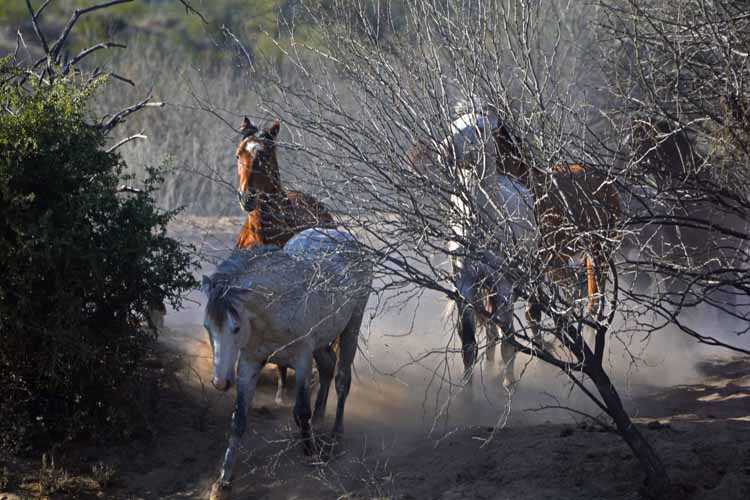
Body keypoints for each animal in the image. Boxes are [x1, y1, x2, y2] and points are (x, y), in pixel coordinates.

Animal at [203, 228, 374, 500]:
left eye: (236, 327)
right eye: (207, 327)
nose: (220, 382)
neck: (274, 308)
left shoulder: (302, 359)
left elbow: (301, 410)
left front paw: (311, 456)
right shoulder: (249, 363)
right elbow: (238, 419)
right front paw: (223, 482)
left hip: (351, 327)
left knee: (341, 380)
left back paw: (335, 435)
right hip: (321, 341)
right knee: (327, 366)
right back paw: (318, 419)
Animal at [440, 102, 540, 390]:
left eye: (479, 128)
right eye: (453, 124)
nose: (445, 149)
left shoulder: (503, 286)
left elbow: (509, 342)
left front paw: (509, 384)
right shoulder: (465, 285)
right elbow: (469, 346)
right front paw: (467, 393)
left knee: (517, 325)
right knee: (492, 332)